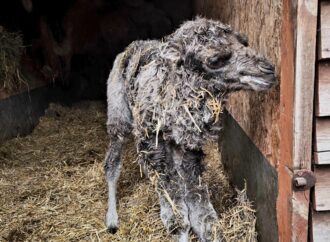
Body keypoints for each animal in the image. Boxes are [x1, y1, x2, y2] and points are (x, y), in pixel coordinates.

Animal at [104, 17, 276, 242]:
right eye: (215, 59)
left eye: (244, 42)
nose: (268, 70)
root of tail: (129, 48)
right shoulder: (155, 148)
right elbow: (178, 220)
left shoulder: (188, 152)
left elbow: (205, 219)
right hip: (119, 114)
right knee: (112, 163)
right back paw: (112, 221)